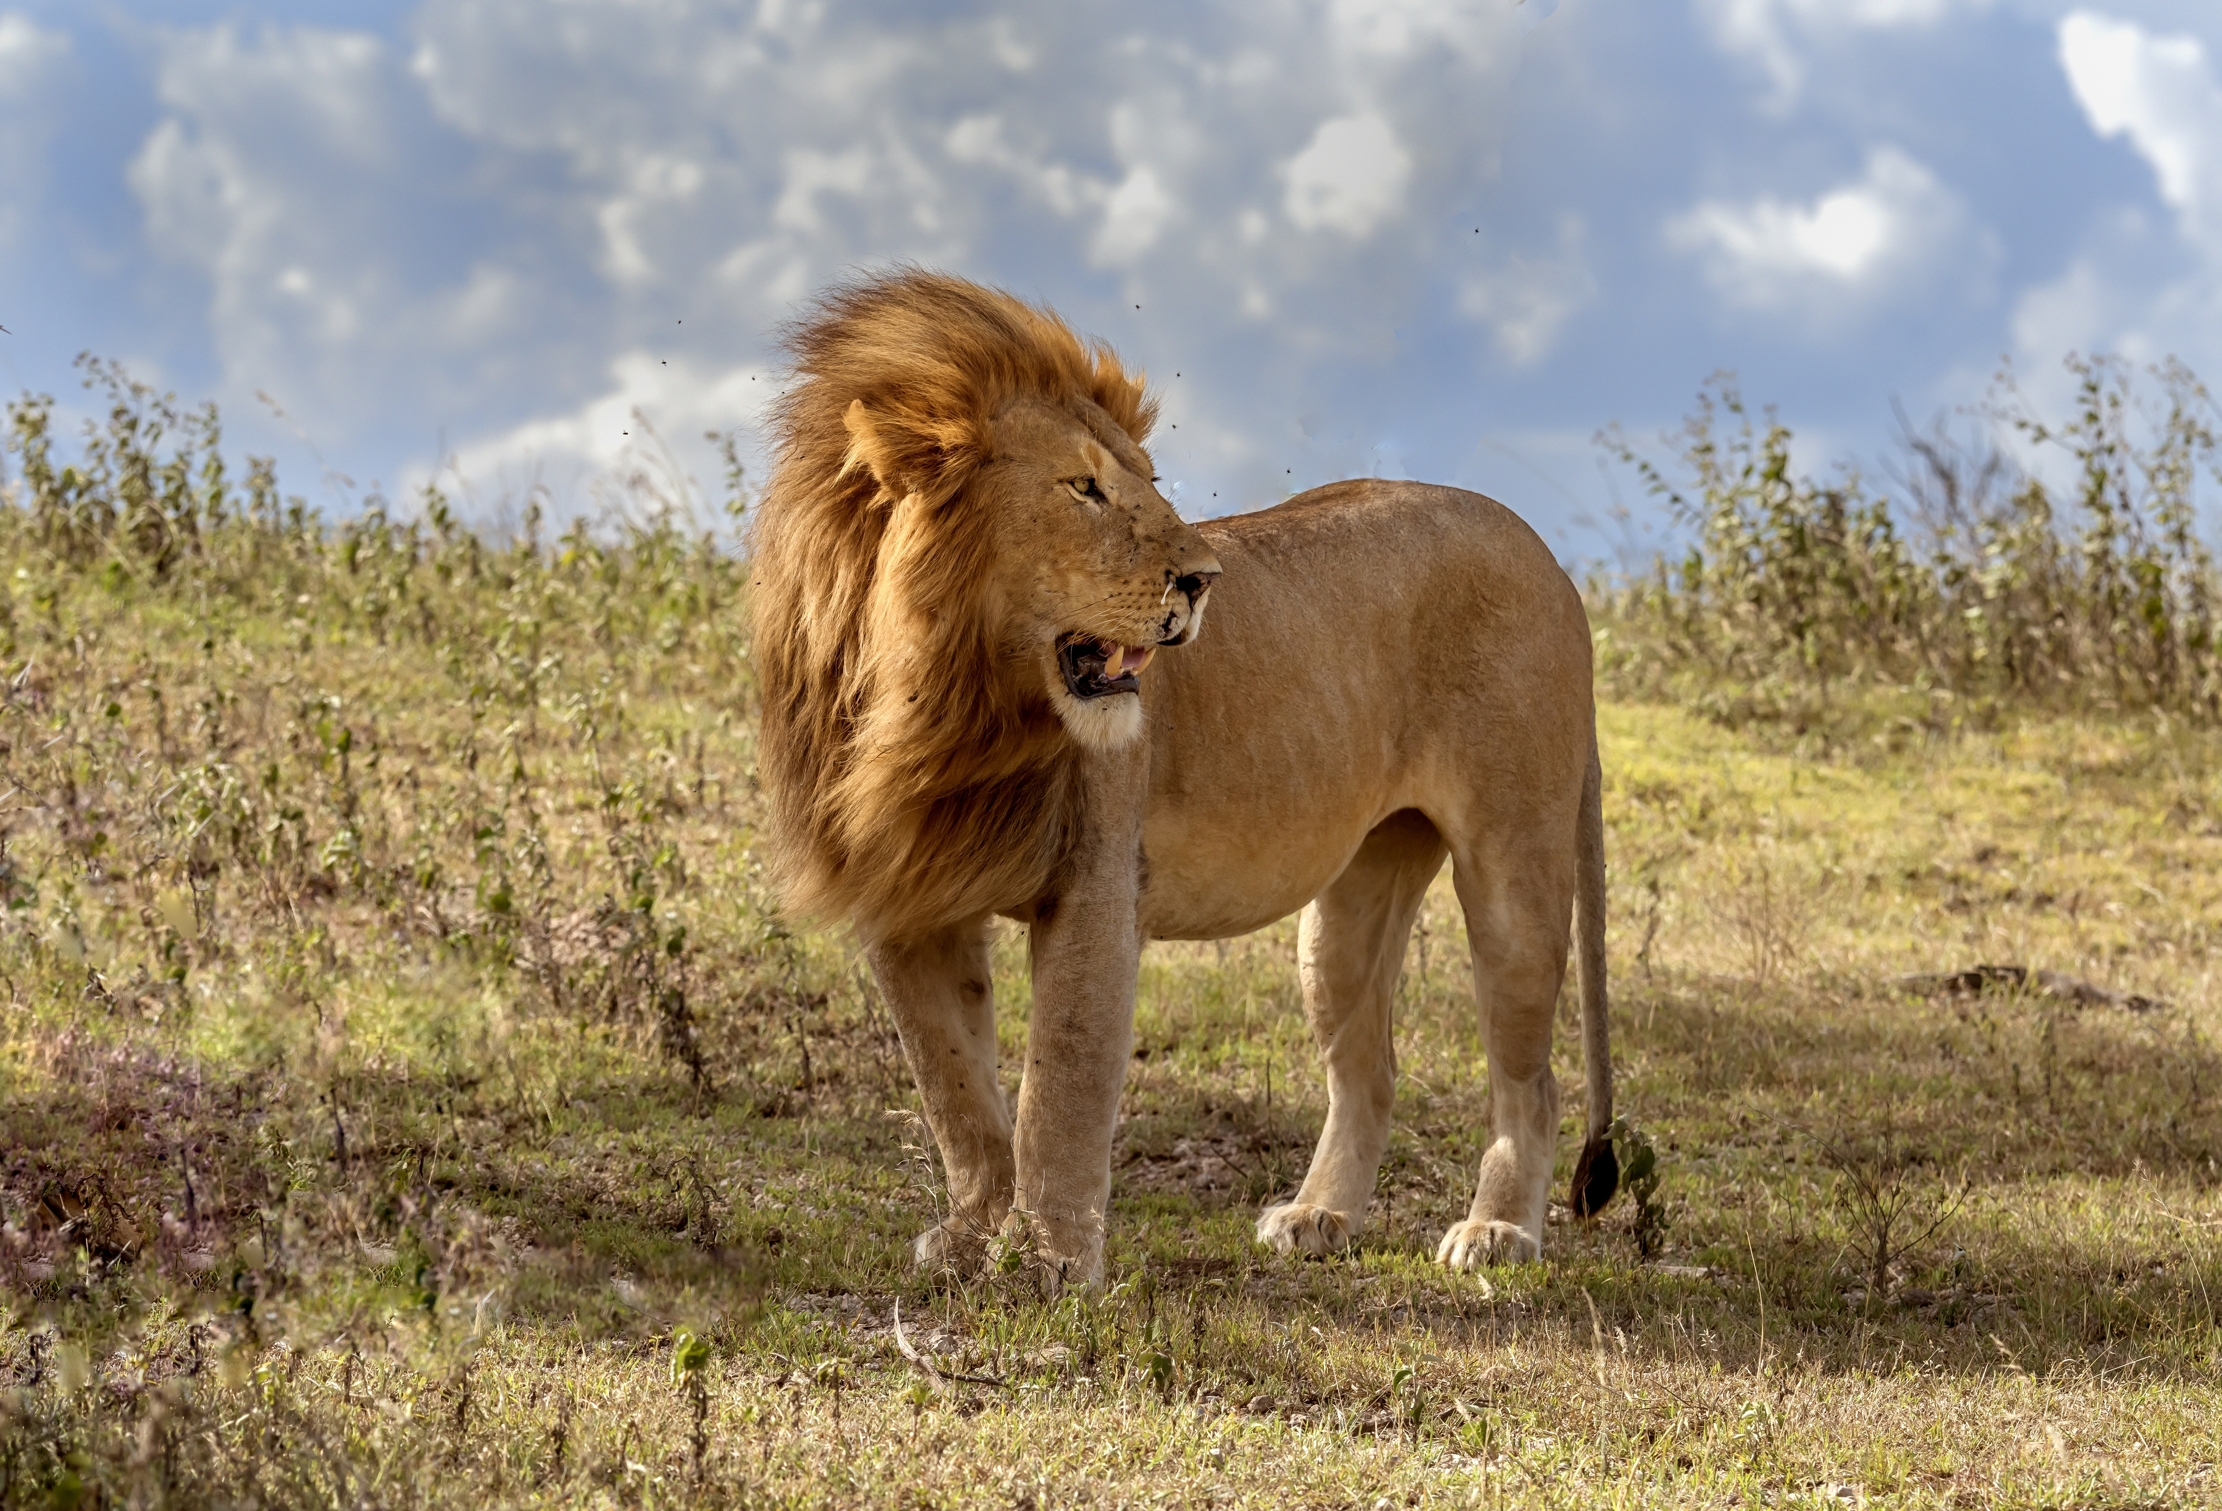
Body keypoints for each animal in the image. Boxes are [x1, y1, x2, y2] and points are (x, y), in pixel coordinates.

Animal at [751, 269, 1615, 1285]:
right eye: (1084, 486)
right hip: (1352, 905)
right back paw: (1319, 1216)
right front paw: (973, 1235)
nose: (1203, 579)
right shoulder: (907, 893)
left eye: (1151, 485)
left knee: (1534, 1076)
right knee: (1370, 1068)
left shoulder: (1094, 887)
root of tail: (1551, 558)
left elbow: (1060, 1084)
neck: (944, 705)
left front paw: (1046, 1258)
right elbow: (954, 1085)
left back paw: (1499, 1230)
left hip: (1515, 866)